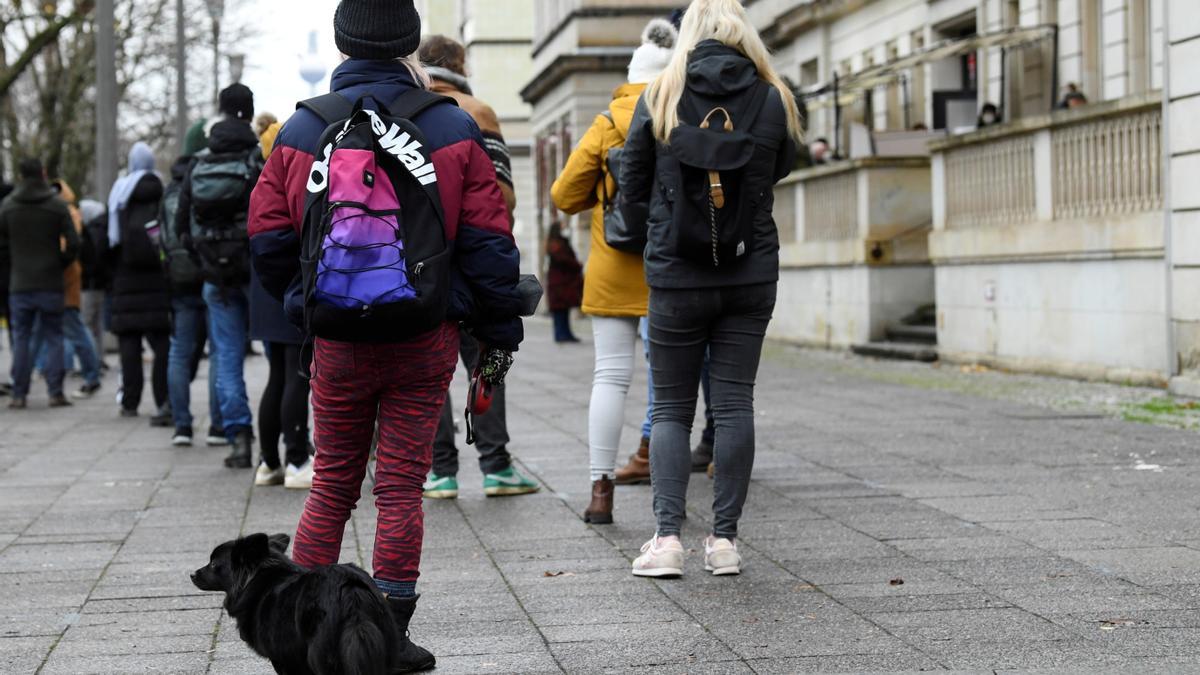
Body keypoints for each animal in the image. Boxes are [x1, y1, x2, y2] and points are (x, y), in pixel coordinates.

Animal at [192, 530, 396, 672]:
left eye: (213, 564)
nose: (192, 574)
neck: (257, 578)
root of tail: (350, 591)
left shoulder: (283, 658)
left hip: (320, 655)